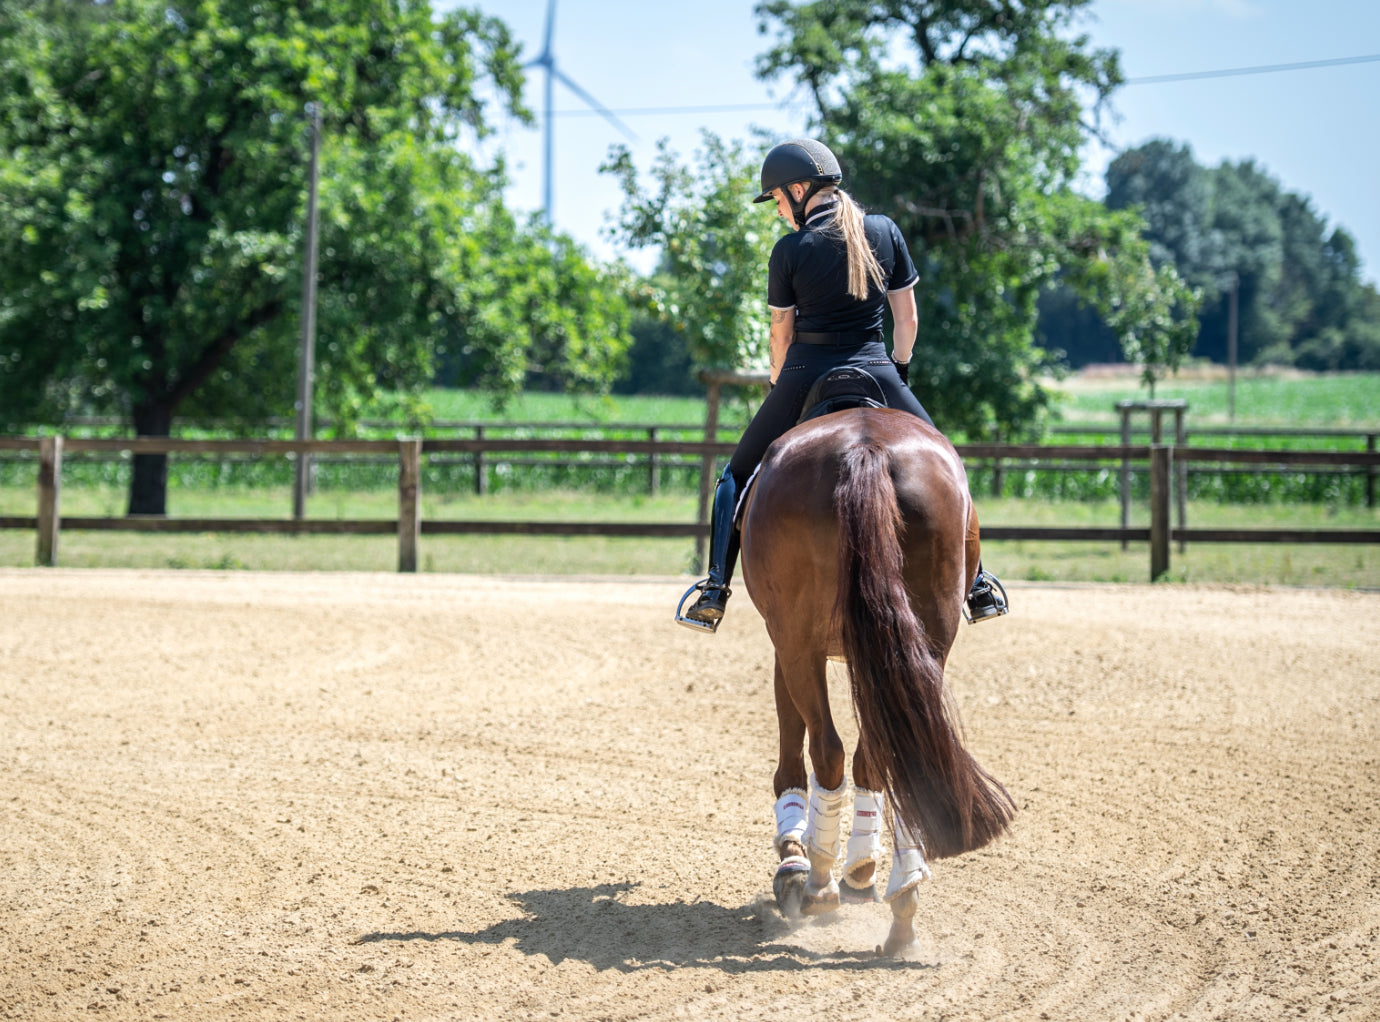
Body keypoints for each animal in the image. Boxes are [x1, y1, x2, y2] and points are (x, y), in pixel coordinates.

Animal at [739, 402, 1021, 954]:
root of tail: (866, 448)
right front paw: (859, 867)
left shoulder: (785, 643)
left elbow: (791, 750)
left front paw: (792, 857)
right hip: (926, 633)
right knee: (889, 751)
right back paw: (898, 898)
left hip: (798, 638)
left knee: (828, 751)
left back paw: (819, 882)